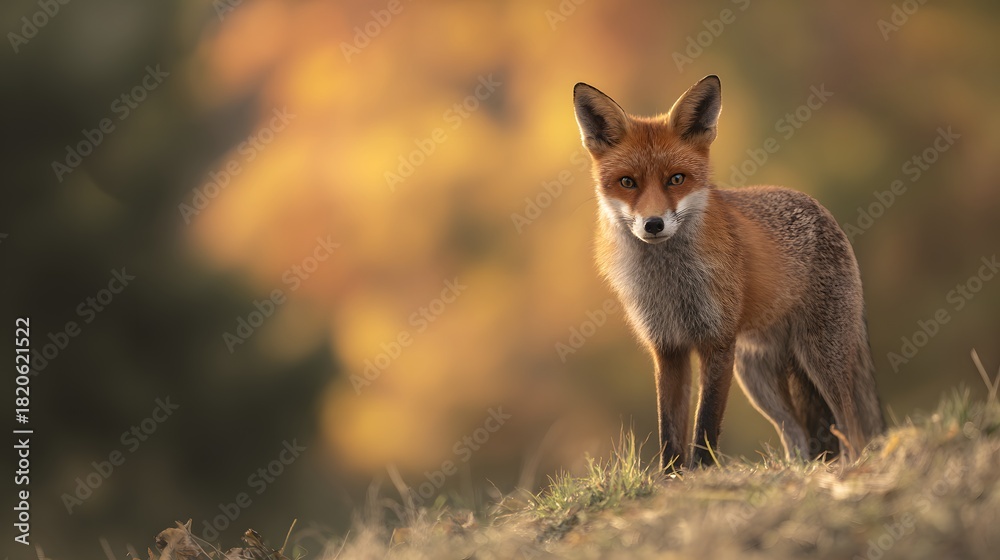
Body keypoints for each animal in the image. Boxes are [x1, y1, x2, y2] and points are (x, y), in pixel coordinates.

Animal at [573, 75, 885, 470]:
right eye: (627, 182)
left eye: (677, 179)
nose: (654, 224)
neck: (669, 282)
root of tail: (819, 207)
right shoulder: (668, 347)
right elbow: (669, 429)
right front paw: (672, 477)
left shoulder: (718, 342)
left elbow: (706, 424)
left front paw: (702, 472)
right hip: (758, 378)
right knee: (797, 435)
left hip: (821, 358)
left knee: (851, 427)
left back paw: (850, 466)